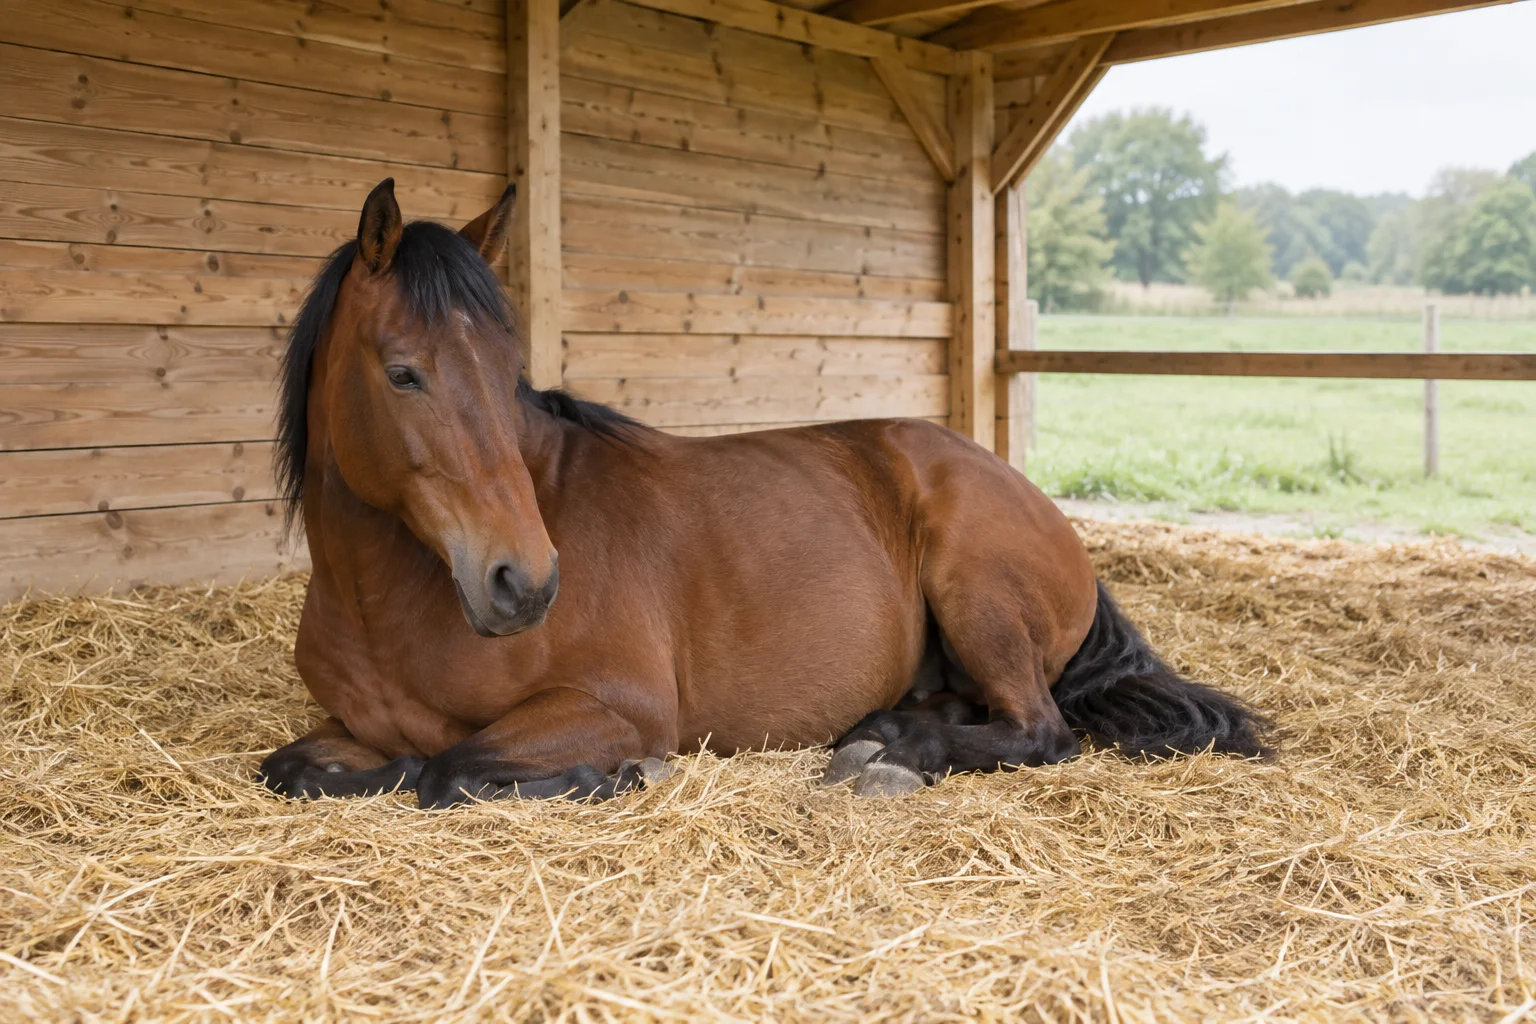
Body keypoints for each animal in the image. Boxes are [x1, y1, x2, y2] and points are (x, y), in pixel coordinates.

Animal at [258, 179, 1267, 809]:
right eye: (403, 374)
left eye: (510, 374)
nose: (526, 582)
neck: (389, 604)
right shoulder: (342, 729)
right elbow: (297, 768)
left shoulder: (617, 706)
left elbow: (446, 769)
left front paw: (616, 778)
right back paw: (880, 733)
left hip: (975, 589)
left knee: (1040, 731)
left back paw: (894, 760)